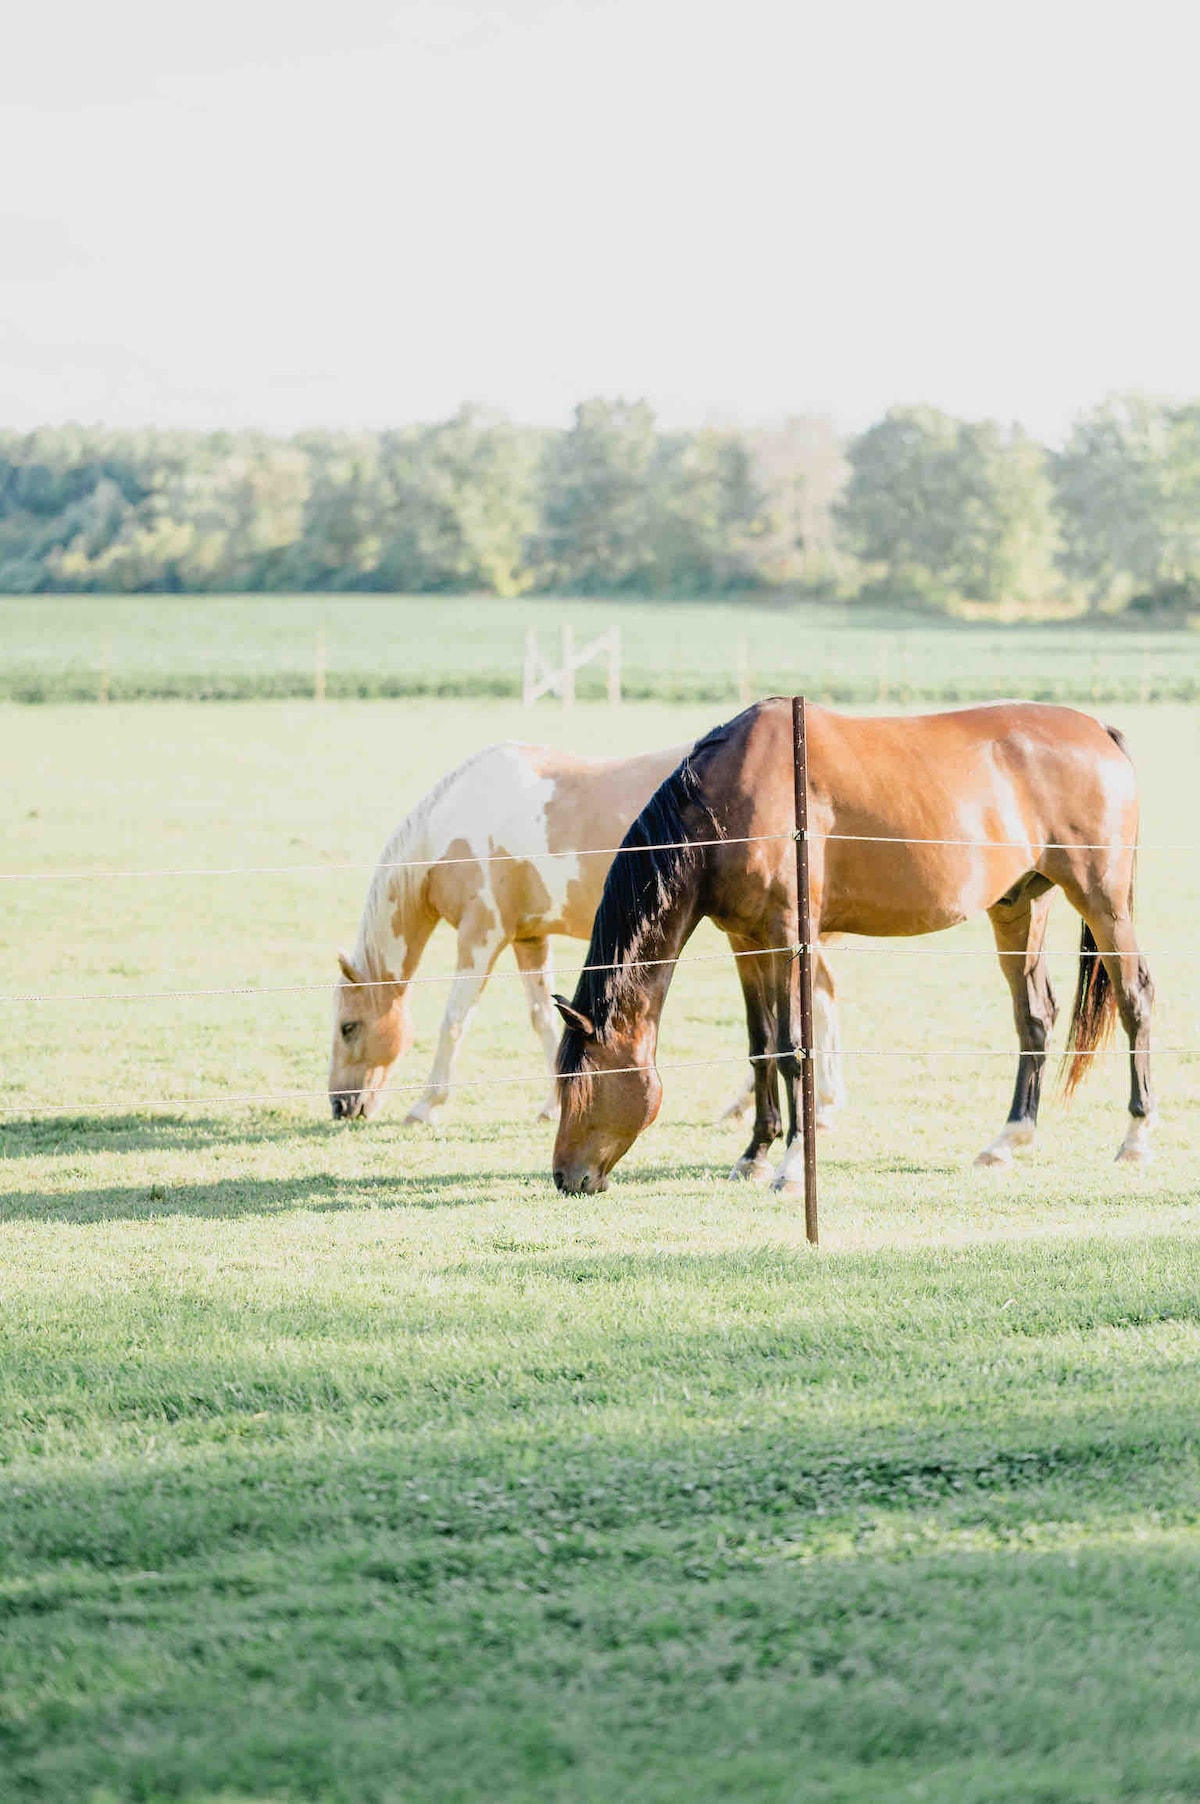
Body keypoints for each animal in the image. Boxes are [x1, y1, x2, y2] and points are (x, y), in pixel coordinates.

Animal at [328, 738, 846, 1124]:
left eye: (348, 1026)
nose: (340, 1106)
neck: (454, 828)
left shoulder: (482, 935)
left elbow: (455, 1019)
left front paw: (425, 1105)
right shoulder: (528, 938)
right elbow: (542, 1016)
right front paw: (554, 1103)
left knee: (815, 1001)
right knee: (820, 998)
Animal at [552, 698, 1155, 1196]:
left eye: (584, 1084)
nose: (564, 1177)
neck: (731, 802)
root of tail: (1097, 730)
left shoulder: (789, 937)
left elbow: (794, 1050)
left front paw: (793, 1166)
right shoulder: (746, 942)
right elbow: (761, 1045)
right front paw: (754, 1155)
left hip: (1102, 900)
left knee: (1135, 1000)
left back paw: (1136, 1137)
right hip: (1020, 905)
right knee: (1035, 1016)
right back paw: (1007, 1141)